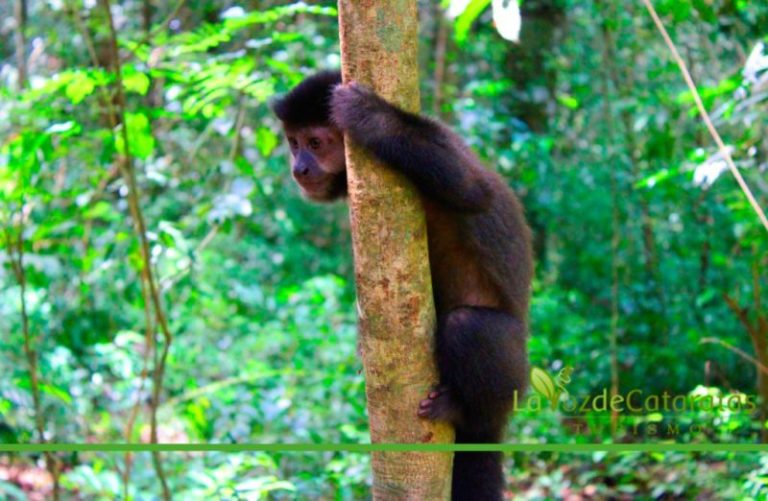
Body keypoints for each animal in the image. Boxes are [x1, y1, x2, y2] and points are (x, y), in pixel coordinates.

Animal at [274, 71, 536, 500]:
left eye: (315, 143)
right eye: (293, 143)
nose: (299, 168)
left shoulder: (441, 136)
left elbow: (472, 190)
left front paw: (369, 116)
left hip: (517, 375)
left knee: (469, 327)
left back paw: (467, 412)